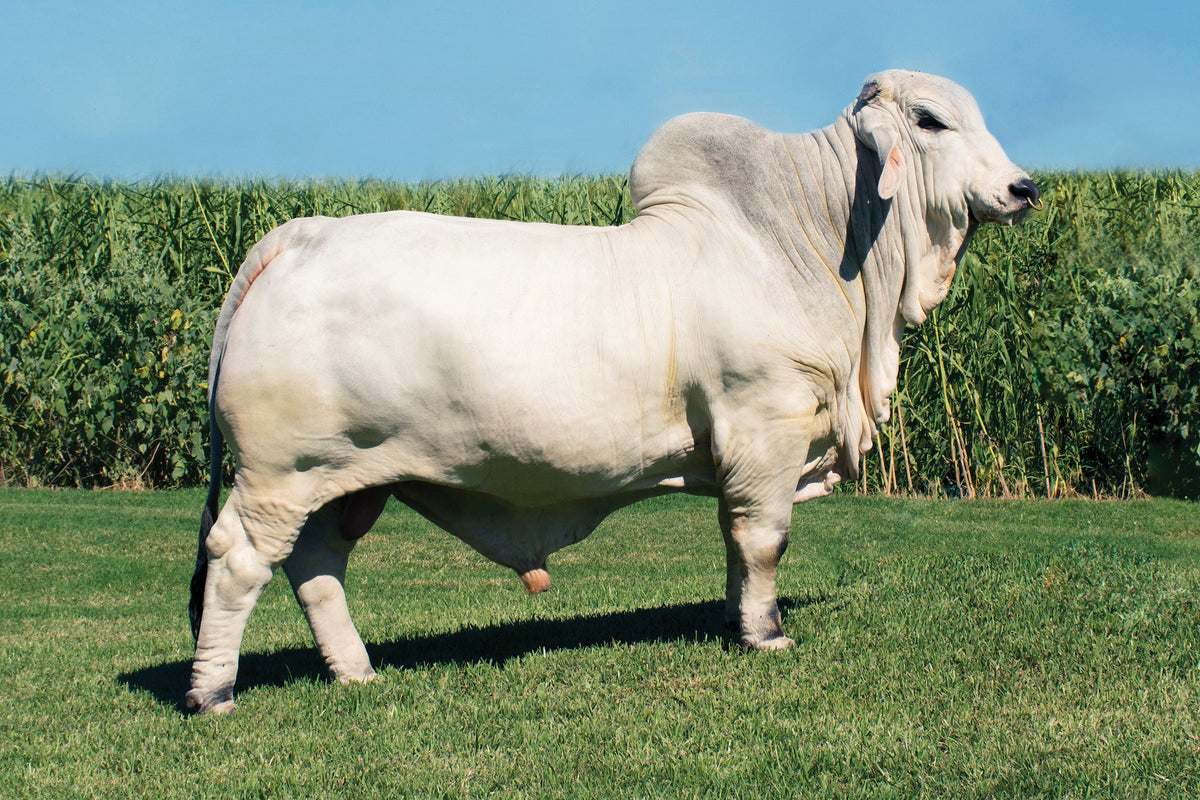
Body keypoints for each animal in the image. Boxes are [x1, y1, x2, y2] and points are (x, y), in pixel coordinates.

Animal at [187, 70, 1039, 713]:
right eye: (930, 120)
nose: (1023, 187)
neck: (809, 241)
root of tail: (297, 234)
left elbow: (736, 543)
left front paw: (738, 619)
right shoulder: (766, 426)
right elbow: (764, 539)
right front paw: (767, 635)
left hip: (341, 480)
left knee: (316, 567)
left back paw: (357, 672)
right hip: (277, 477)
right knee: (237, 562)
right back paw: (212, 694)